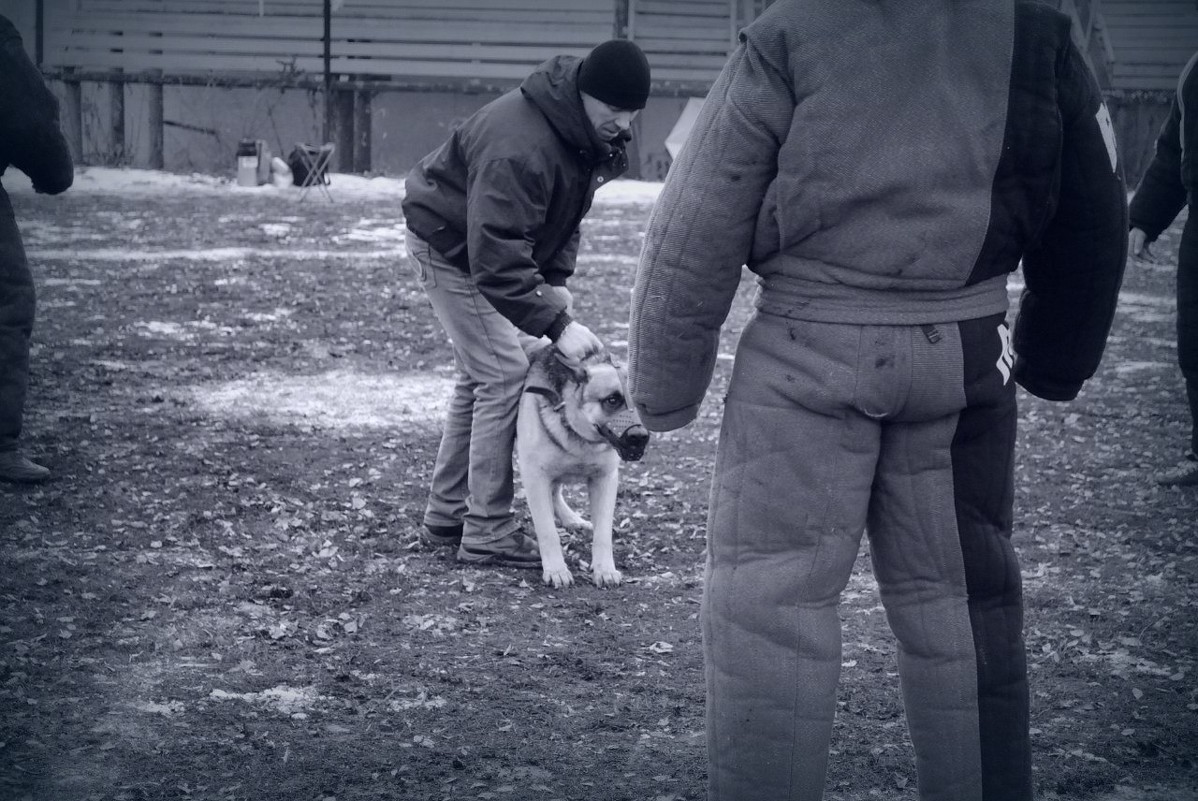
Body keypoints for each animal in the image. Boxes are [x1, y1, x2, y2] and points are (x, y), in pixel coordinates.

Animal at [515, 344, 646, 586]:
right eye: (612, 400)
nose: (641, 437)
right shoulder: (535, 477)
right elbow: (547, 531)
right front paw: (556, 569)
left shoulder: (605, 479)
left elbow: (603, 533)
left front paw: (605, 569)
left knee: (555, 493)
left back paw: (571, 519)